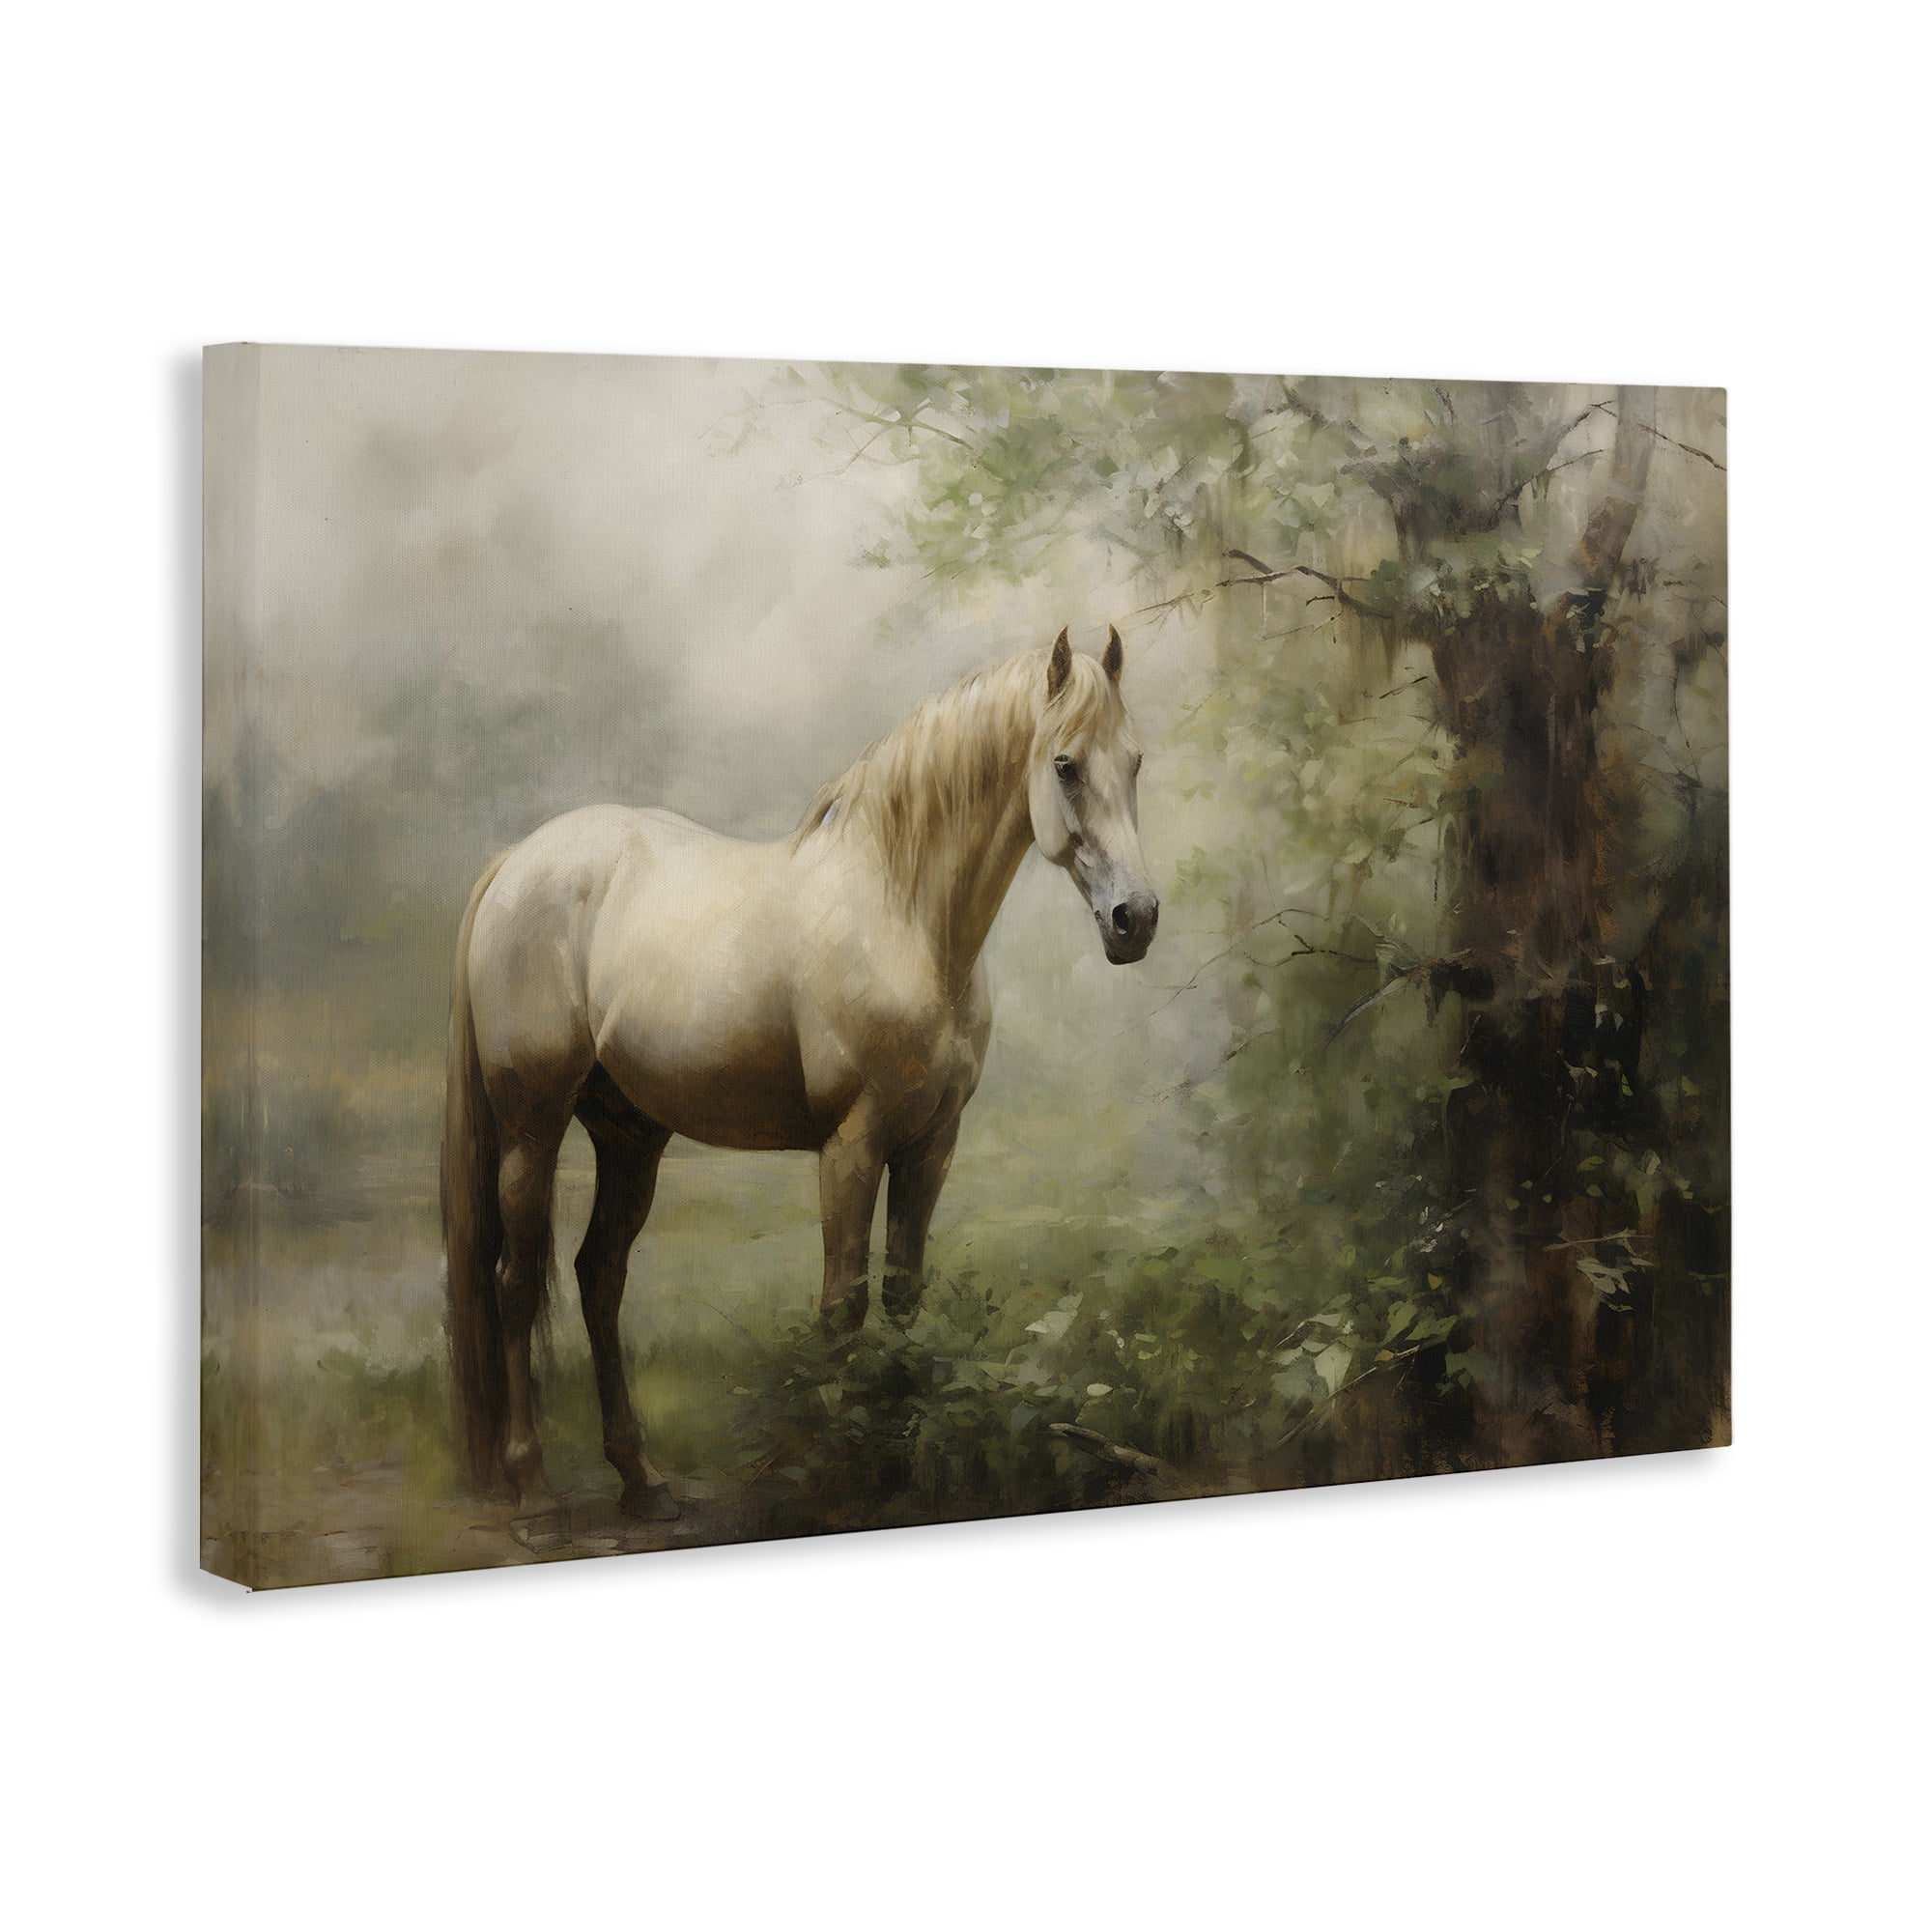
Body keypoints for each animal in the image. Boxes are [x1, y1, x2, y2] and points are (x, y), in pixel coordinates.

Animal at [441, 626, 1158, 1519]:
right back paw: (532, 1486)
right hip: (532, 1128)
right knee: (514, 1281)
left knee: (598, 1278)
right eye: (1064, 764)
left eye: (1135, 761)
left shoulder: (931, 1145)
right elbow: (841, 1308)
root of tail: (514, 862)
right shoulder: (852, 1145)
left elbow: (904, 1296)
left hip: (630, 1136)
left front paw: (899, 1465)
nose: (1136, 920)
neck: (904, 916)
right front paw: (845, 1473)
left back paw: (642, 1480)